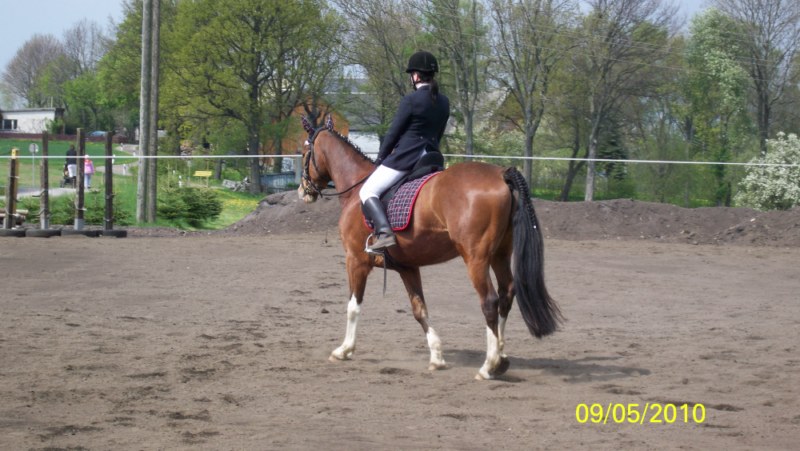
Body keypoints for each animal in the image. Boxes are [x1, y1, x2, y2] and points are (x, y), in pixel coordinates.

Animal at [299, 118, 562, 380]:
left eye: (304, 152)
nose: (303, 191)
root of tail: (501, 173)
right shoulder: (407, 268)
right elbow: (419, 310)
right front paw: (436, 357)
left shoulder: (356, 260)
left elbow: (353, 306)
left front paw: (344, 350)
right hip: (500, 253)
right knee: (507, 293)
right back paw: (501, 356)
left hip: (476, 258)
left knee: (490, 301)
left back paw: (489, 365)